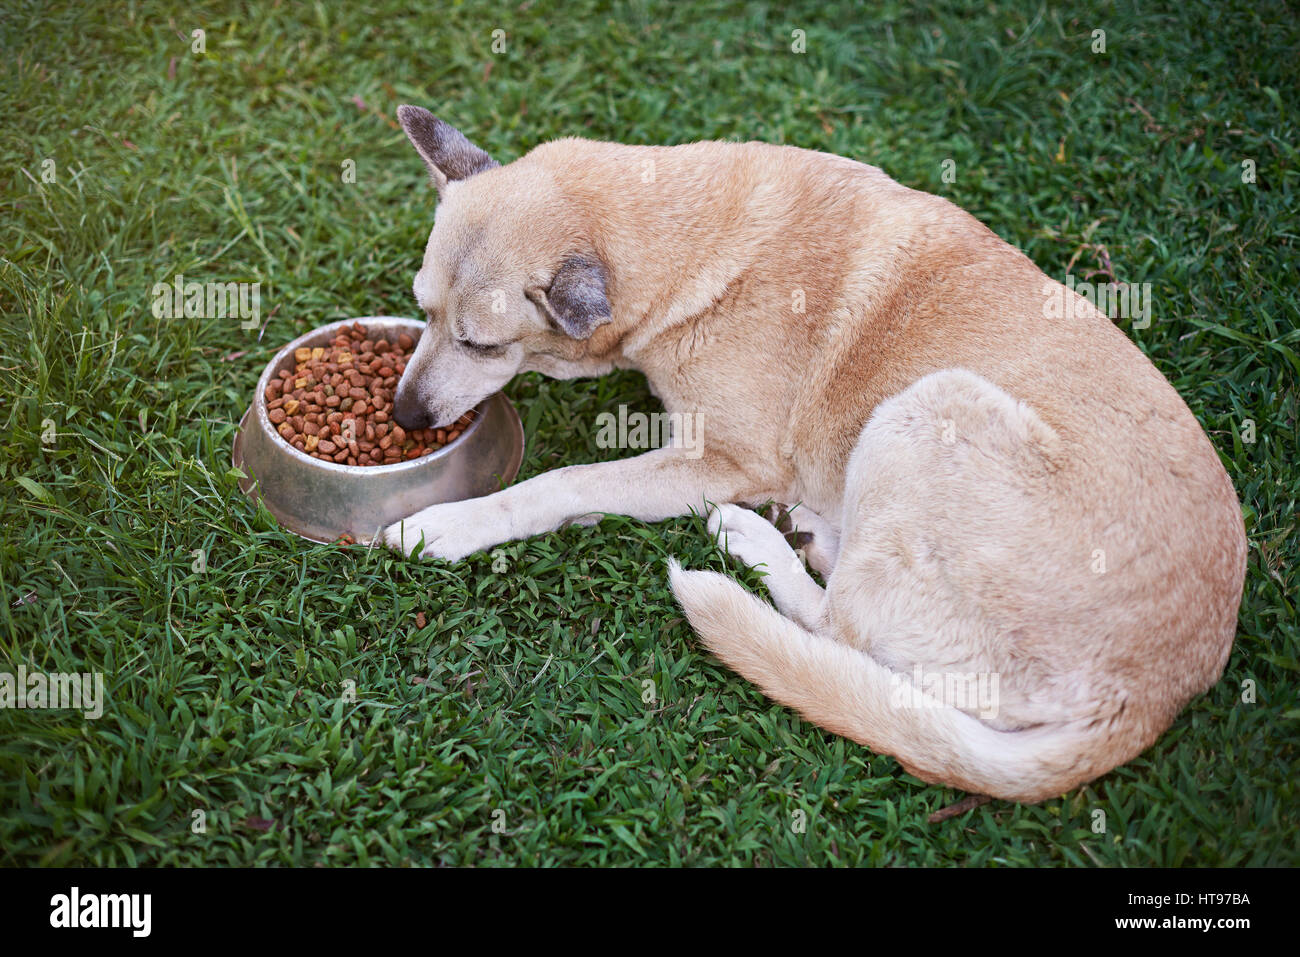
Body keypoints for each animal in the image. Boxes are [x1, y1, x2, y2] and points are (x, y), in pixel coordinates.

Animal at [382, 108, 1248, 806]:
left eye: (481, 343)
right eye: (422, 310)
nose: (403, 415)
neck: (689, 237)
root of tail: (1154, 696)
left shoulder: (724, 462)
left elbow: (555, 484)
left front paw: (444, 526)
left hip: (927, 409)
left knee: (837, 629)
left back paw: (753, 541)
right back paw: (809, 531)